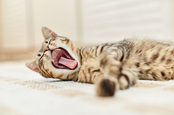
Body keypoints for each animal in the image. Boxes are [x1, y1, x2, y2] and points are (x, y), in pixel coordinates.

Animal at [26, 26, 174, 96]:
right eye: (40, 57)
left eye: (48, 41)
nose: (45, 48)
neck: (83, 63)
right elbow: (117, 79)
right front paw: (108, 85)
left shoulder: (115, 47)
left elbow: (105, 58)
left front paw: (112, 67)